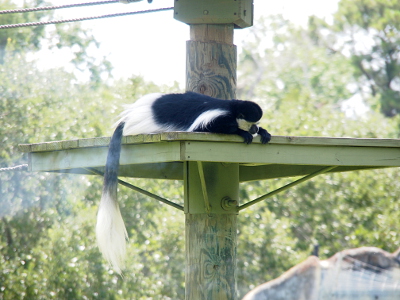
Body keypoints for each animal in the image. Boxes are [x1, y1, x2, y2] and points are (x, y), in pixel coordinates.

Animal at [97, 92, 272, 274]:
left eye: (255, 123)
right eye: (251, 123)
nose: (255, 129)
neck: (232, 109)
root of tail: (130, 116)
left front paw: (263, 132)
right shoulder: (216, 117)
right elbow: (207, 128)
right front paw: (242, 133)